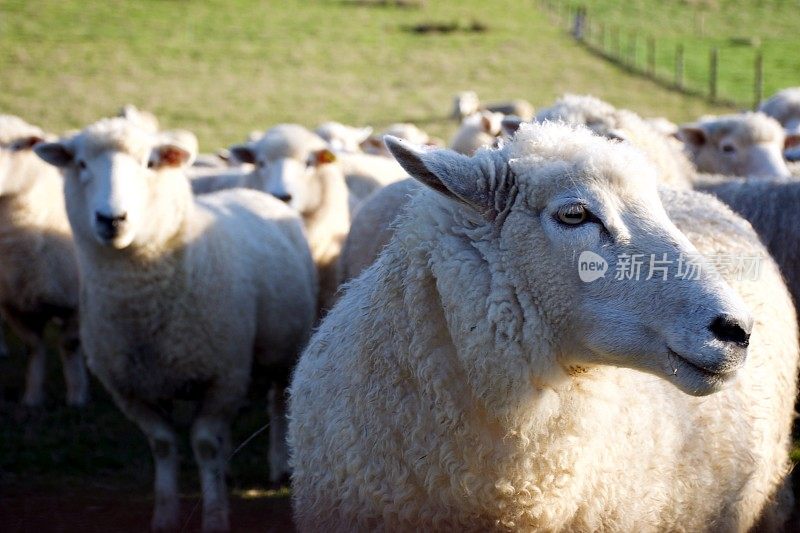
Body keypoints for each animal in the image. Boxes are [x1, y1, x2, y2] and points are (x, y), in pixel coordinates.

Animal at [0, 116, 87, 406]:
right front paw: (32, 397)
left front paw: (77, 396)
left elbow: (69, 345)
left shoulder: (75, 304)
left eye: (17, 146)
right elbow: (33, 349)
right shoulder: (14, 305)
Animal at [34, 117, 318, 532]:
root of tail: (252, 192)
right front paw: (165, 515)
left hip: (283, 349)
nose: (111, 219)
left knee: (278, 404)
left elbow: (205, 444)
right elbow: (164, 445)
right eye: (81, 164)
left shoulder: (223, 376)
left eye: (149, 163)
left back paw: (279, 465)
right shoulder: (129, 389)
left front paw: (215, 516)